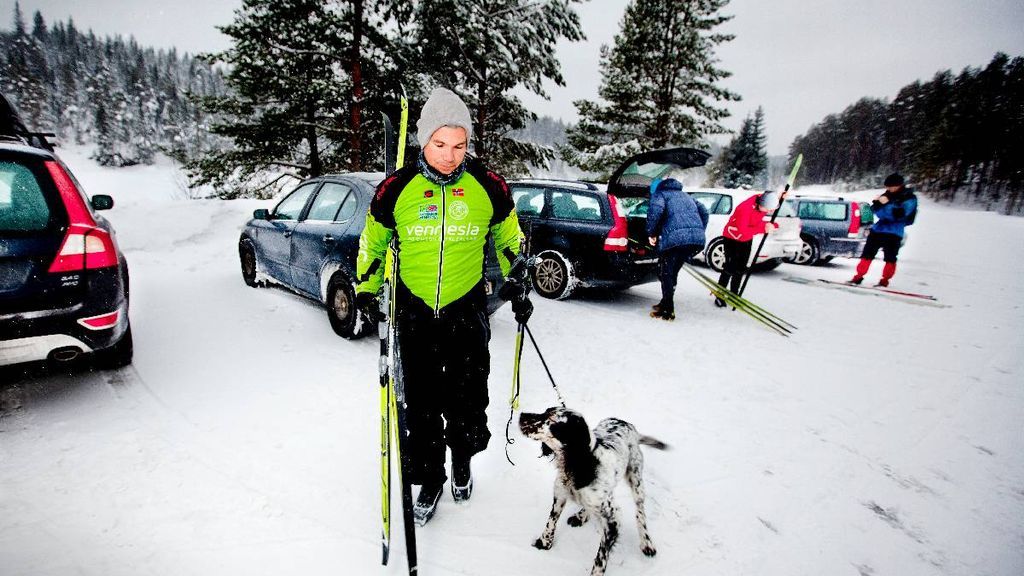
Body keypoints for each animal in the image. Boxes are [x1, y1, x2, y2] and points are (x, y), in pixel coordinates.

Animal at [519, 406, 668, 576]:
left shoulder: (613, 519)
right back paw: (581, 516)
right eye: (545, 411)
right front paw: (544, 543)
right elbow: (551, 521)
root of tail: (629, 425)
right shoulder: (560, 493)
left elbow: (601, 556)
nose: (521, 415)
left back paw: (646, 542)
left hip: (635, 479)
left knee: (640, 512)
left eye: (551, 420)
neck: (579, 464)